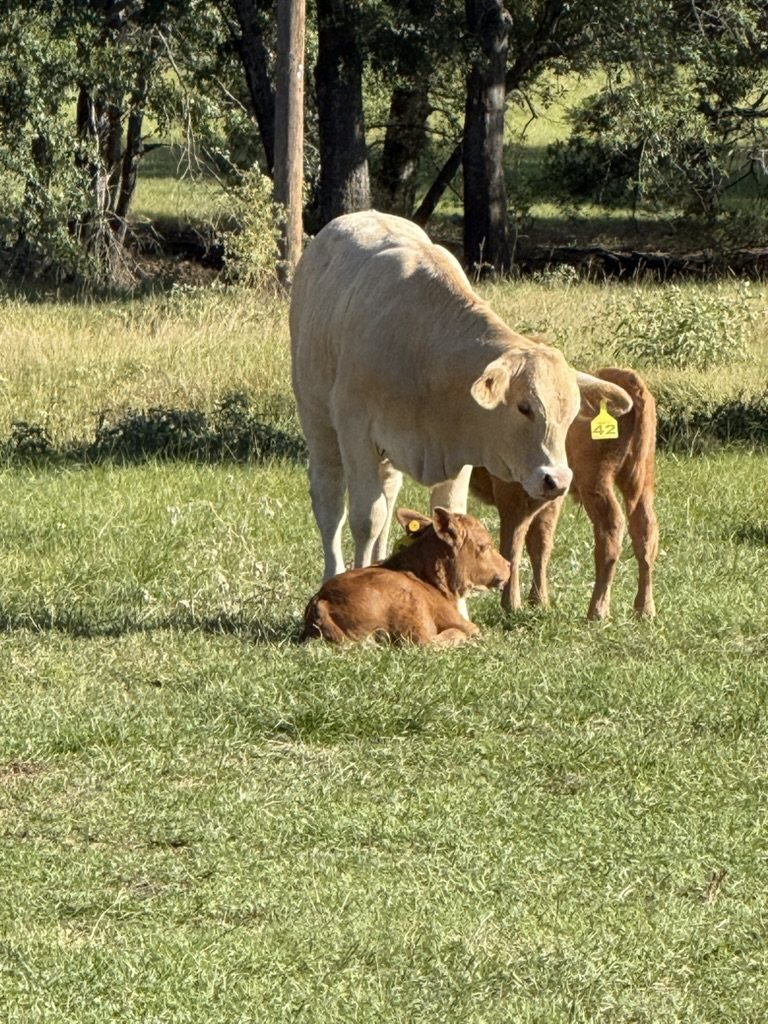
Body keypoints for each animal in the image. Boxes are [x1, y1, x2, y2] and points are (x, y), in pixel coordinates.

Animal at [290, 210, 632, 583]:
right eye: (524, 407)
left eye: (570, 417)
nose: (557, 480)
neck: (424, 353)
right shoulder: (356, 434)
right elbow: (367, 518)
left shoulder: (455, 452)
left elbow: (448, 514)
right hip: (318, 421)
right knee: (329, 498)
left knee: (389, 491)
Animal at [301, 507, 510, 645]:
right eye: (485, 546)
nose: (508, 565)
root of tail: (321, 600)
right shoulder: (458, 621)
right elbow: (473, 629)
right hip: (412, 613)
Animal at [470, 367, 658, 620]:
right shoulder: (546, 496)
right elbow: (540, 542)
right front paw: (539, 601)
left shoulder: (514, 493)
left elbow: (514, 542)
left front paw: (513, 603)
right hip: (639, 481)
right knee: (645, 530)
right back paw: (645, 609)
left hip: (596, 482)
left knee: (611, 528)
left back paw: (598, 610)